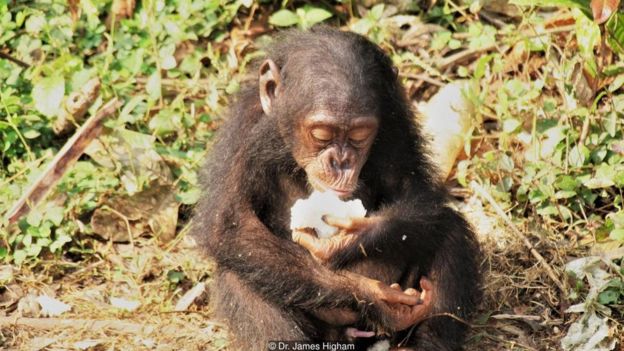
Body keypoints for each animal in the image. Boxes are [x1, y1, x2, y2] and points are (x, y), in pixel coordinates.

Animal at [195, 27, 482, 351]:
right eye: (322, 134)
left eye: (359, 134)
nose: (341, 162)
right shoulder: (244, 130)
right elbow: (233, 224)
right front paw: (372, 295)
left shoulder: (395, 123)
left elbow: (415, 192)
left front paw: (353, 237)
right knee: (240, 277)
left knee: (449, 230)